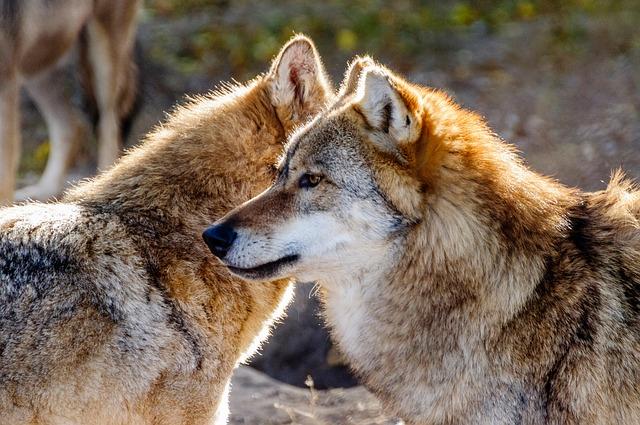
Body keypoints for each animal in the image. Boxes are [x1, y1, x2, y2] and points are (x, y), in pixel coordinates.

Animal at [0, 0, 141, 205]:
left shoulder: (6, 81)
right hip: (37, 67)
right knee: (72, 126)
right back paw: (43, 194)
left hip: (102, 54)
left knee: (109, 128)